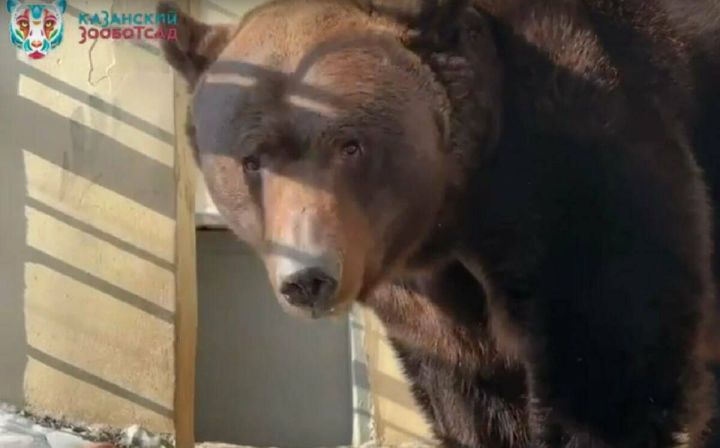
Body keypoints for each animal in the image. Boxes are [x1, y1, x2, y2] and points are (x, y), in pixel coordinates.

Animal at [158, 0, 720, 446]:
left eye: (350, 145)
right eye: (252, 160)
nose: (308, 279)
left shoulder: (579, 147)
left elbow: (607, 358)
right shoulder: (427, 298)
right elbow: (473, 393)